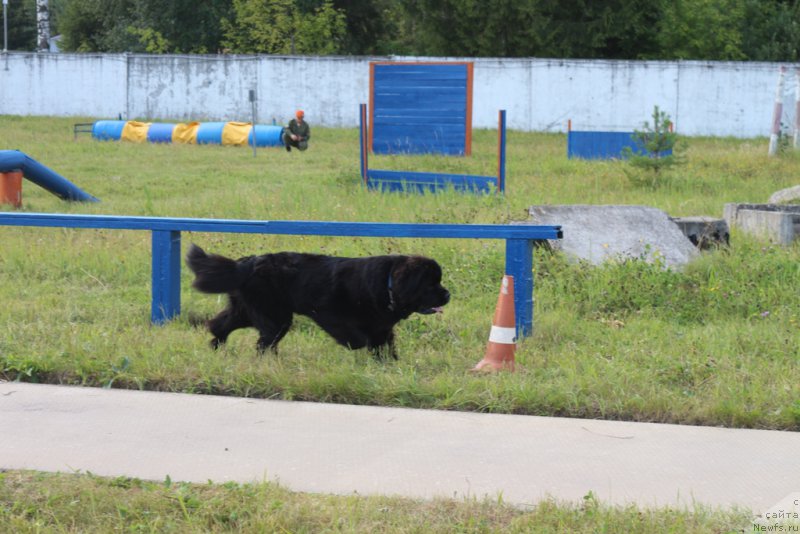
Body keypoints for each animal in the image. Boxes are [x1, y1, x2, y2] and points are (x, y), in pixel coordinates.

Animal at [186, 246, 450, 362]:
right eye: (430, 284)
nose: (447, 295)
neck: (389, 286)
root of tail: (247, 263)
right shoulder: (330, 313)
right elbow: (359, 339)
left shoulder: (382, 327)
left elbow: (385, 345)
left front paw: (390, 364)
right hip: (275, 317)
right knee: (264, 342)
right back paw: (270, 362)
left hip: (247, 310)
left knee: (221, 324)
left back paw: (216, 346)